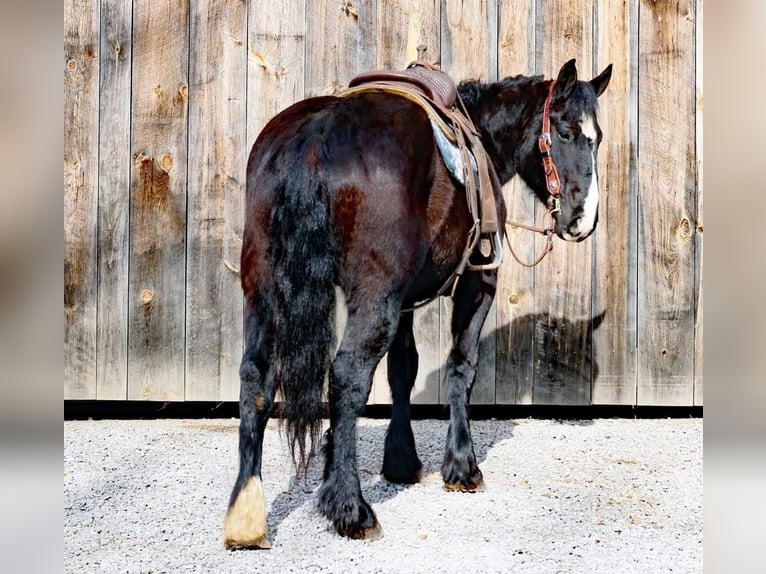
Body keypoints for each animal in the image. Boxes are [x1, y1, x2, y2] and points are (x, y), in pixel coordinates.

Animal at [222, 57, 612, 548]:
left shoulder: (404, 300)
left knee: (255, 377)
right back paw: (351, 508)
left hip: (263, 290)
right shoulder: (478, 279)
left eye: (597, 137)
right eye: (564, 132)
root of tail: (315, 134)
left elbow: (402, 369)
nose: (584, 219)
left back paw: (246, 513)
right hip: (374, 297)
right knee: (347, 376)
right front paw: (461, 465)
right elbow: (462, 365)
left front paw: (400, 461)